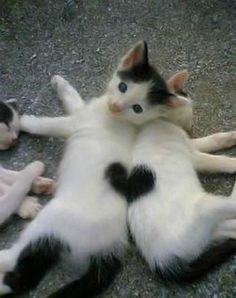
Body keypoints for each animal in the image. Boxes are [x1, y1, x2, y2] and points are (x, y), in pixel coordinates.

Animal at [107, 41, 236, 282]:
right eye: (190, 111)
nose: (190, 125)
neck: (159, 122)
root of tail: (161, 261)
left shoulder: (190, 144)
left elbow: (210, 141)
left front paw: (229, 137)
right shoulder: (192, 154)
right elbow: (215, 160)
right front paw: (231, 162)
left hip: (210, 230)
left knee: (230, 228)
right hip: (204, 209)